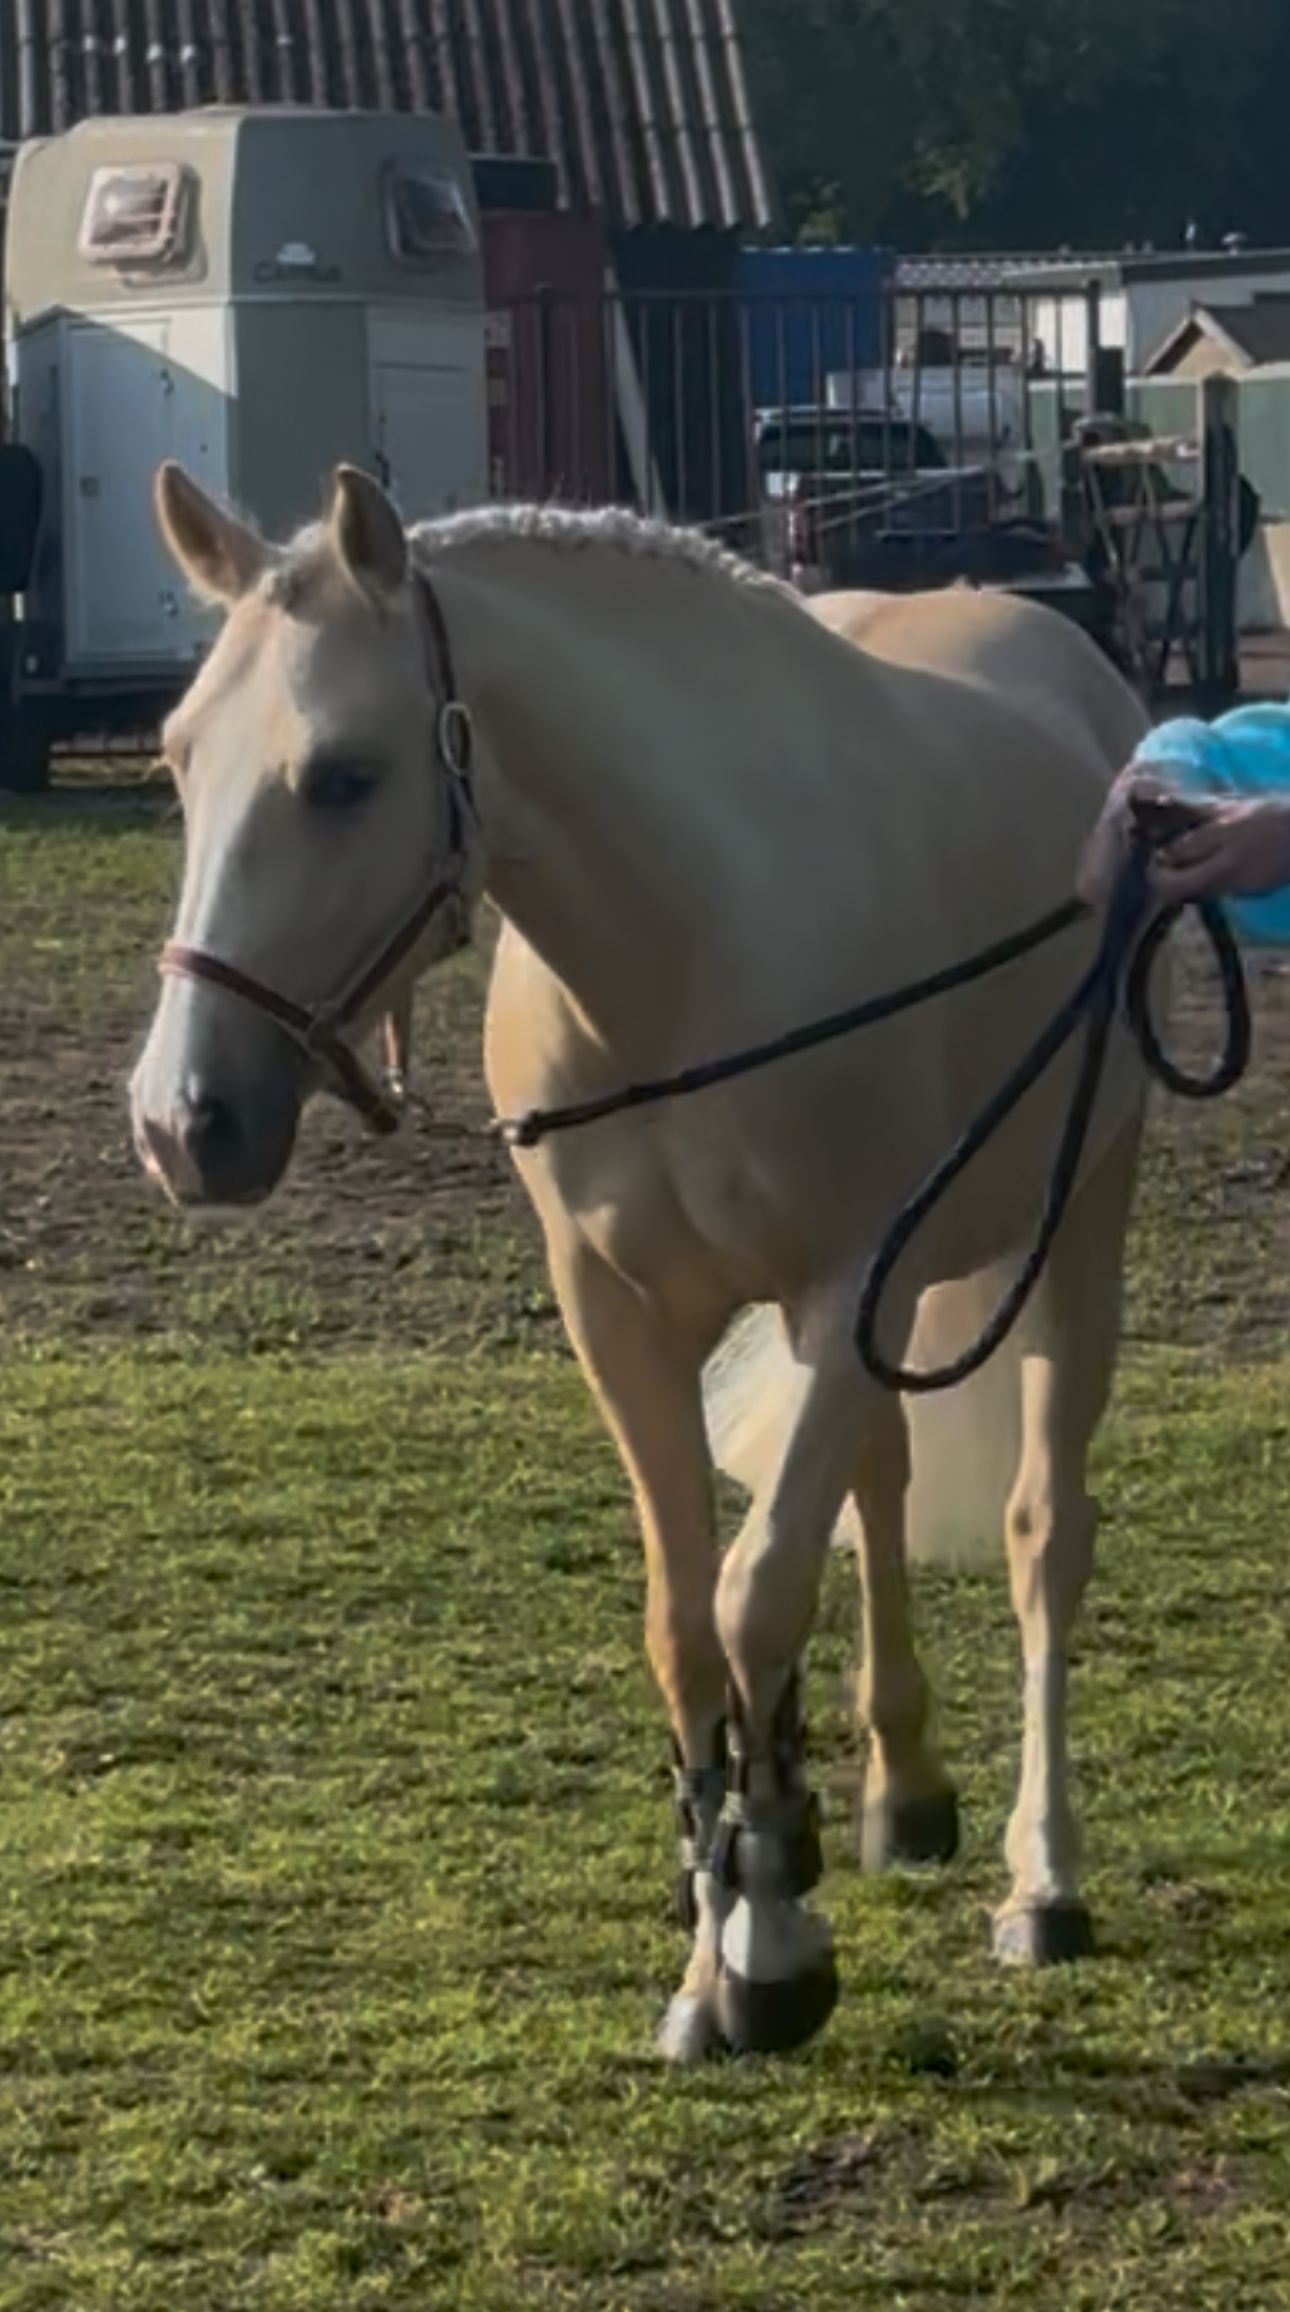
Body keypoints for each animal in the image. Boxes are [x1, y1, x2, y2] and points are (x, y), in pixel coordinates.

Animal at [131, 461, 1150, 2064]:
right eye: (177, 762)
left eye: (345, 775)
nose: (184, 1123)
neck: (685, 953)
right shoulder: (622, 1318)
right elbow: (685, 1624)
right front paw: (710, 1947)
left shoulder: (842, 1286)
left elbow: (758, 1591)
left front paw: (773, 1942)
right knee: (878, 1489)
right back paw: (898, 1793)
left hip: (1079, 1221)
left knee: (1042, 1534)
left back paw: (1039, 1881)